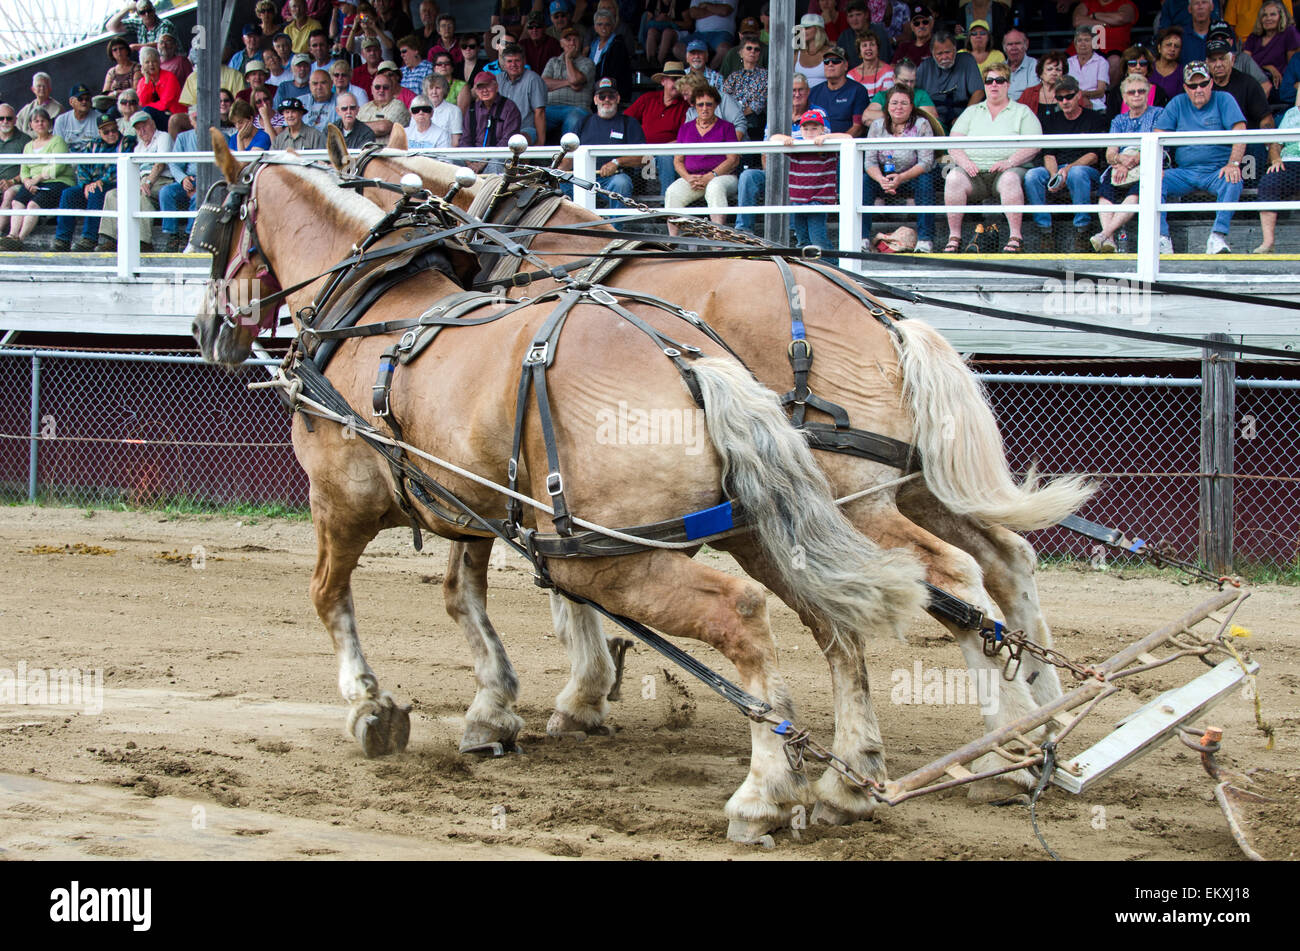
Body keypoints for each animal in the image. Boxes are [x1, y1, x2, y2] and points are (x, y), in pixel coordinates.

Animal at [190, 127, 927, 842]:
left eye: (211, 223)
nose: (204, 329)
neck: (372, 307)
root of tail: (693, 363)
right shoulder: (475, 506)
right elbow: (462, 598)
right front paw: (495, 708)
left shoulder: (341, 502)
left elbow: (328, 596)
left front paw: (371, 706)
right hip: (766, 532)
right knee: (838, 619)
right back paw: (851, 776)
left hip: (611, 557)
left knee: (744, 613)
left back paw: (765, 791)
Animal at [347, 134, 1096, 820]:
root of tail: (881, 318)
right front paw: (580, 690)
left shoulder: (521, 473)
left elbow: (527, 585)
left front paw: (562, 696)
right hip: (908, 485)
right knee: (1005, 559)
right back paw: (1045, 721)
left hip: (857, 499)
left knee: (951, 573)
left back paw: (1004, 749)